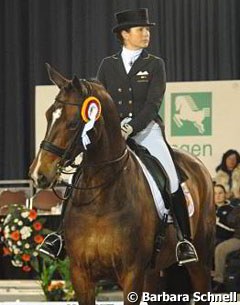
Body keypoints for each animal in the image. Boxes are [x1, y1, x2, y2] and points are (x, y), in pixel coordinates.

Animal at [29, 63, 215, 302]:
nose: (38, 174)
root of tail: (198, 164)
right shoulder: (80, 275)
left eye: (72, 124)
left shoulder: (131, 273)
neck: (100, 197)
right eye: (47, 116)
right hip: (153, 271)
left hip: (199, 260)